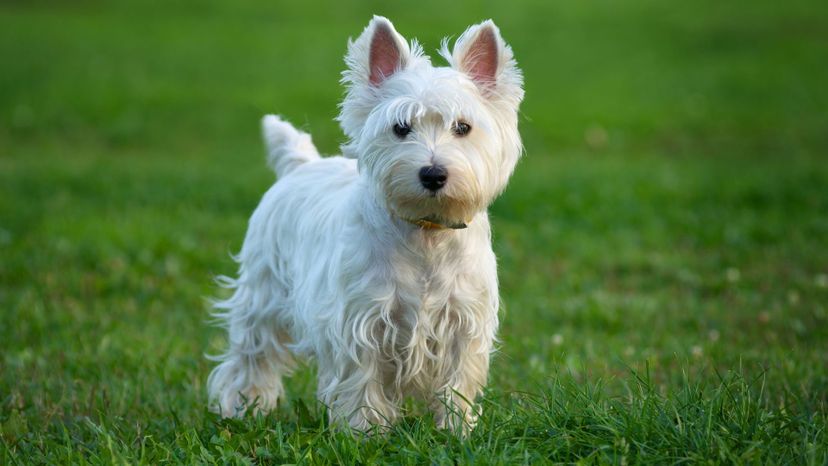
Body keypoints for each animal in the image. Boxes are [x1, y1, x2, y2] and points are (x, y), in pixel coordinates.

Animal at [210, 15, 524, 434]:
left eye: (462, 127)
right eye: (401, 127)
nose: (433, 174)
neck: (425, 233)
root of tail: (301, 165)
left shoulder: (463, 322)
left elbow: (458, 382)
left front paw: (458, 430)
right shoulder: (361, 321)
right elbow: (363, 379)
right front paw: (364, 432)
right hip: (262, 294)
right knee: (251, 355)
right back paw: (243, 408)